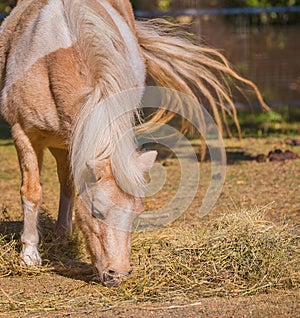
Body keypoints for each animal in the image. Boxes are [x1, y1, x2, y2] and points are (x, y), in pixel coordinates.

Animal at [0, 0, 268, 286]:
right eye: (96, 211)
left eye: (137, 213)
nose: (118, 274)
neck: (54, 62)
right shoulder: (23, 133)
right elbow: (32, 192)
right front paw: (29, 255)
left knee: (68, 184)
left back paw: (63, 235)